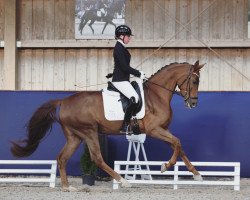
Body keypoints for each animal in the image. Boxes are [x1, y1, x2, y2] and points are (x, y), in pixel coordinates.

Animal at [10, 60, 204, 191]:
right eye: (194, 81)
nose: (193, 103)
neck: (156, 95)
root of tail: (64, 101)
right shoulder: (154, 130)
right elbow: (177, 143)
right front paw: (165, 166)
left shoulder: (163, 129)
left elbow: (179, 146)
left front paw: (196, 175)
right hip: (89, 132)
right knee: (96, 158)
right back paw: (123, 181)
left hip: (75, 136)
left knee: (62, 158)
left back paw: (66, 187)